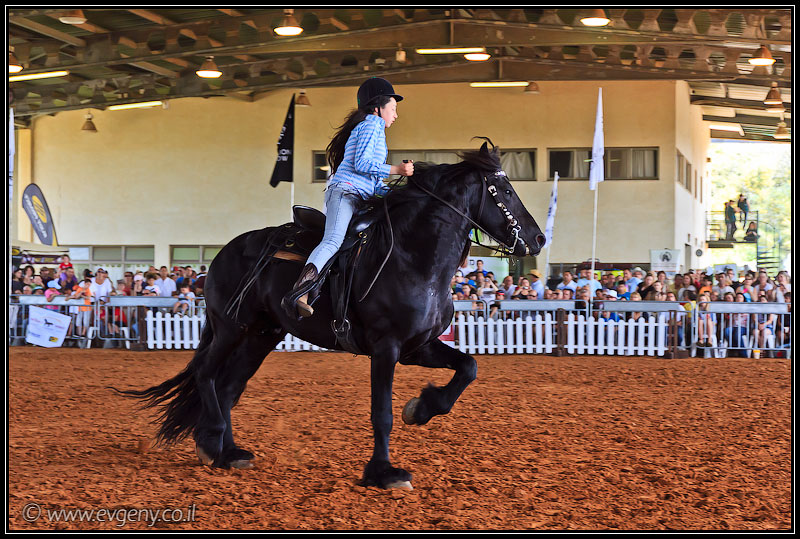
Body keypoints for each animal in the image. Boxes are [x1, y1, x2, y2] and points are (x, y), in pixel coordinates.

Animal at [119, 139, 546, 490]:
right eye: (506, 191)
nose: (539, 238)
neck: (412, 258)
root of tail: (223, 253)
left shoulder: (418, 347)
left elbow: (468, 367)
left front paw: (421, 409)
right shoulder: (387, 348)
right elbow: (382, 413)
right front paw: (383, 473)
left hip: (261, 336)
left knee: (227, 387)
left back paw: (229, 453)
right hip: (230, 328)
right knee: (207, 374)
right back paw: (211, 443)